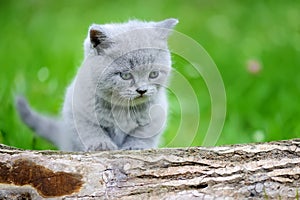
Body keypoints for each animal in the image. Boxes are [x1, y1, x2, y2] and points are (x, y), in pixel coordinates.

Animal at [15, 18, 178, 152]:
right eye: (125, 75)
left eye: (153, 74)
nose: (142, 90)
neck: (121, 107)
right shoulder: (76, 109)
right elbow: (91, 129)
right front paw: (102, 145)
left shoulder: (157, 113)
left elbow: (143, 133)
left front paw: (135, 146)